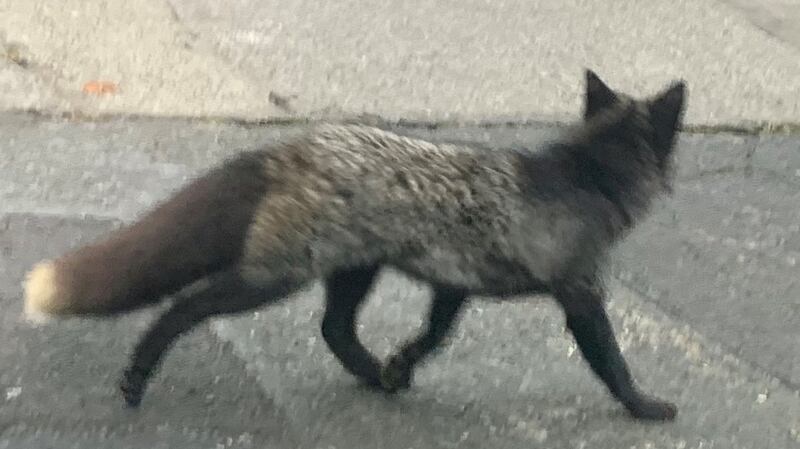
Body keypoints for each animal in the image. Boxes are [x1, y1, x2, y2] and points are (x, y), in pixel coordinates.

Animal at [22, 69, 686, 421]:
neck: (589, 177)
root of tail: (290, 148)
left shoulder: (454, 282)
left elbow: (432, 337)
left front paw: (399, 366)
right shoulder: (579, 292)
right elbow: (610, 361)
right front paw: (644, 405)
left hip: (352, 269)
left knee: (335, 330)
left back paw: (374, 376)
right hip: (274, 277)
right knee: (183, 307)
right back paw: (136, 377)